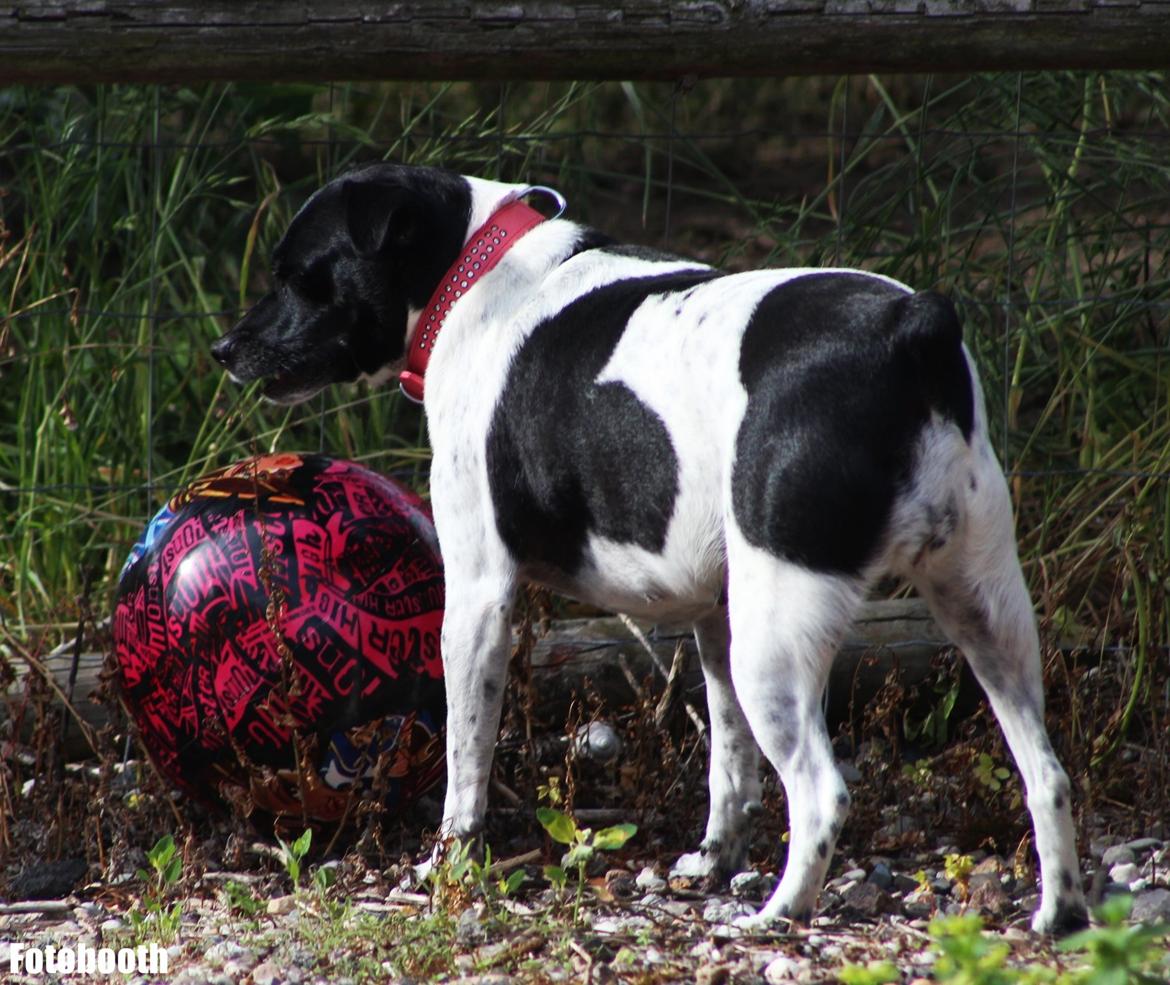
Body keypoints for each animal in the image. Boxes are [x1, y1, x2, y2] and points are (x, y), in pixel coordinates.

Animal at [212, 161, 1085, 931]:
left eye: (301, 275)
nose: (224, 350)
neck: (475, 269)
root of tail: (913, 330)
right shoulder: (714, 618)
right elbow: (728, 761)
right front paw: (716, 856)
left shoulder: (480, 594)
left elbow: (466, 753)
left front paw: (449, 859)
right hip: (983, 612)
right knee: (1046, 772)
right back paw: (1060, 912)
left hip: (780, 640)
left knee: (822, 790)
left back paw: (780, 912)